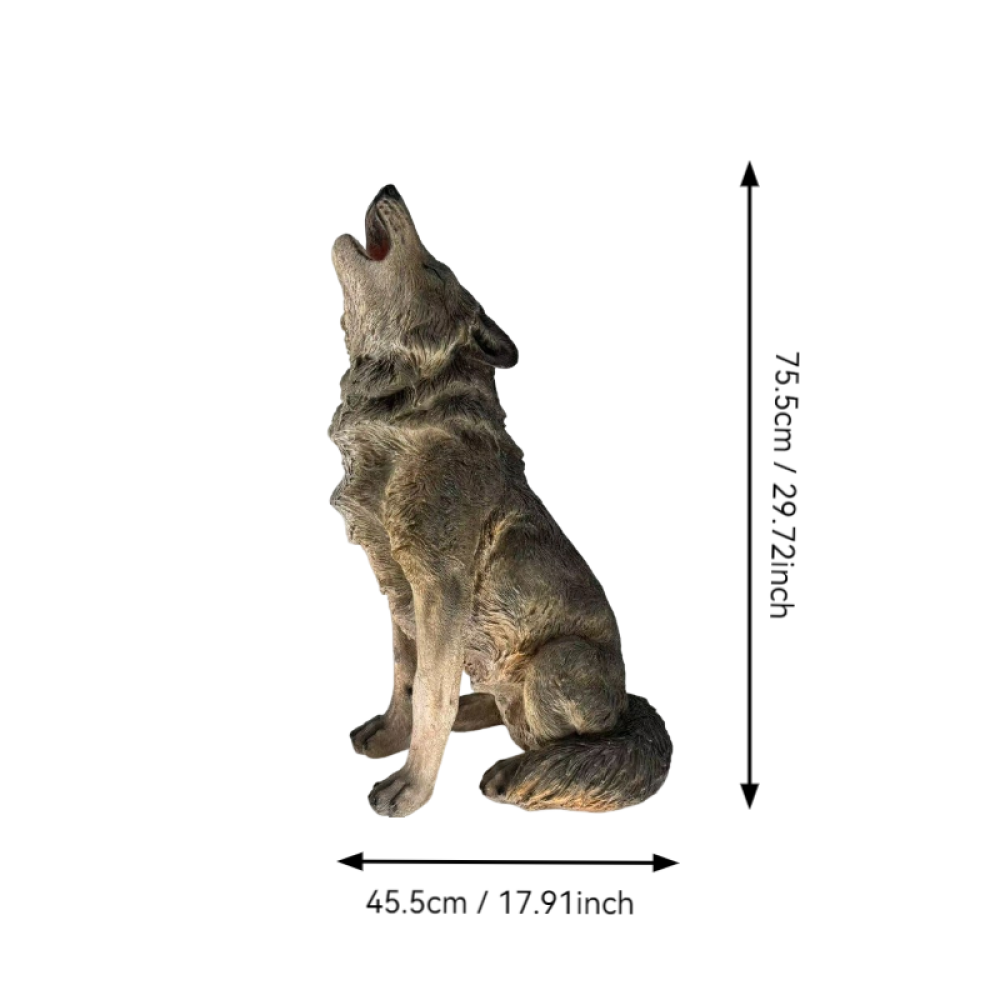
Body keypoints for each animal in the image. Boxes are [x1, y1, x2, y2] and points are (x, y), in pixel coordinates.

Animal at [330, 185, 672, 817]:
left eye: (434, 270)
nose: (389, 189)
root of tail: (627, 703)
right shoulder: (398, 587)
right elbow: (405, 677)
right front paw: (392, 735)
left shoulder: (440, 586)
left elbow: (431, 692)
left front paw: (410, 789)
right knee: (501, 702)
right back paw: (476, 713)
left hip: (559, 662)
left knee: (570, 740)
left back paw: (519, 767)